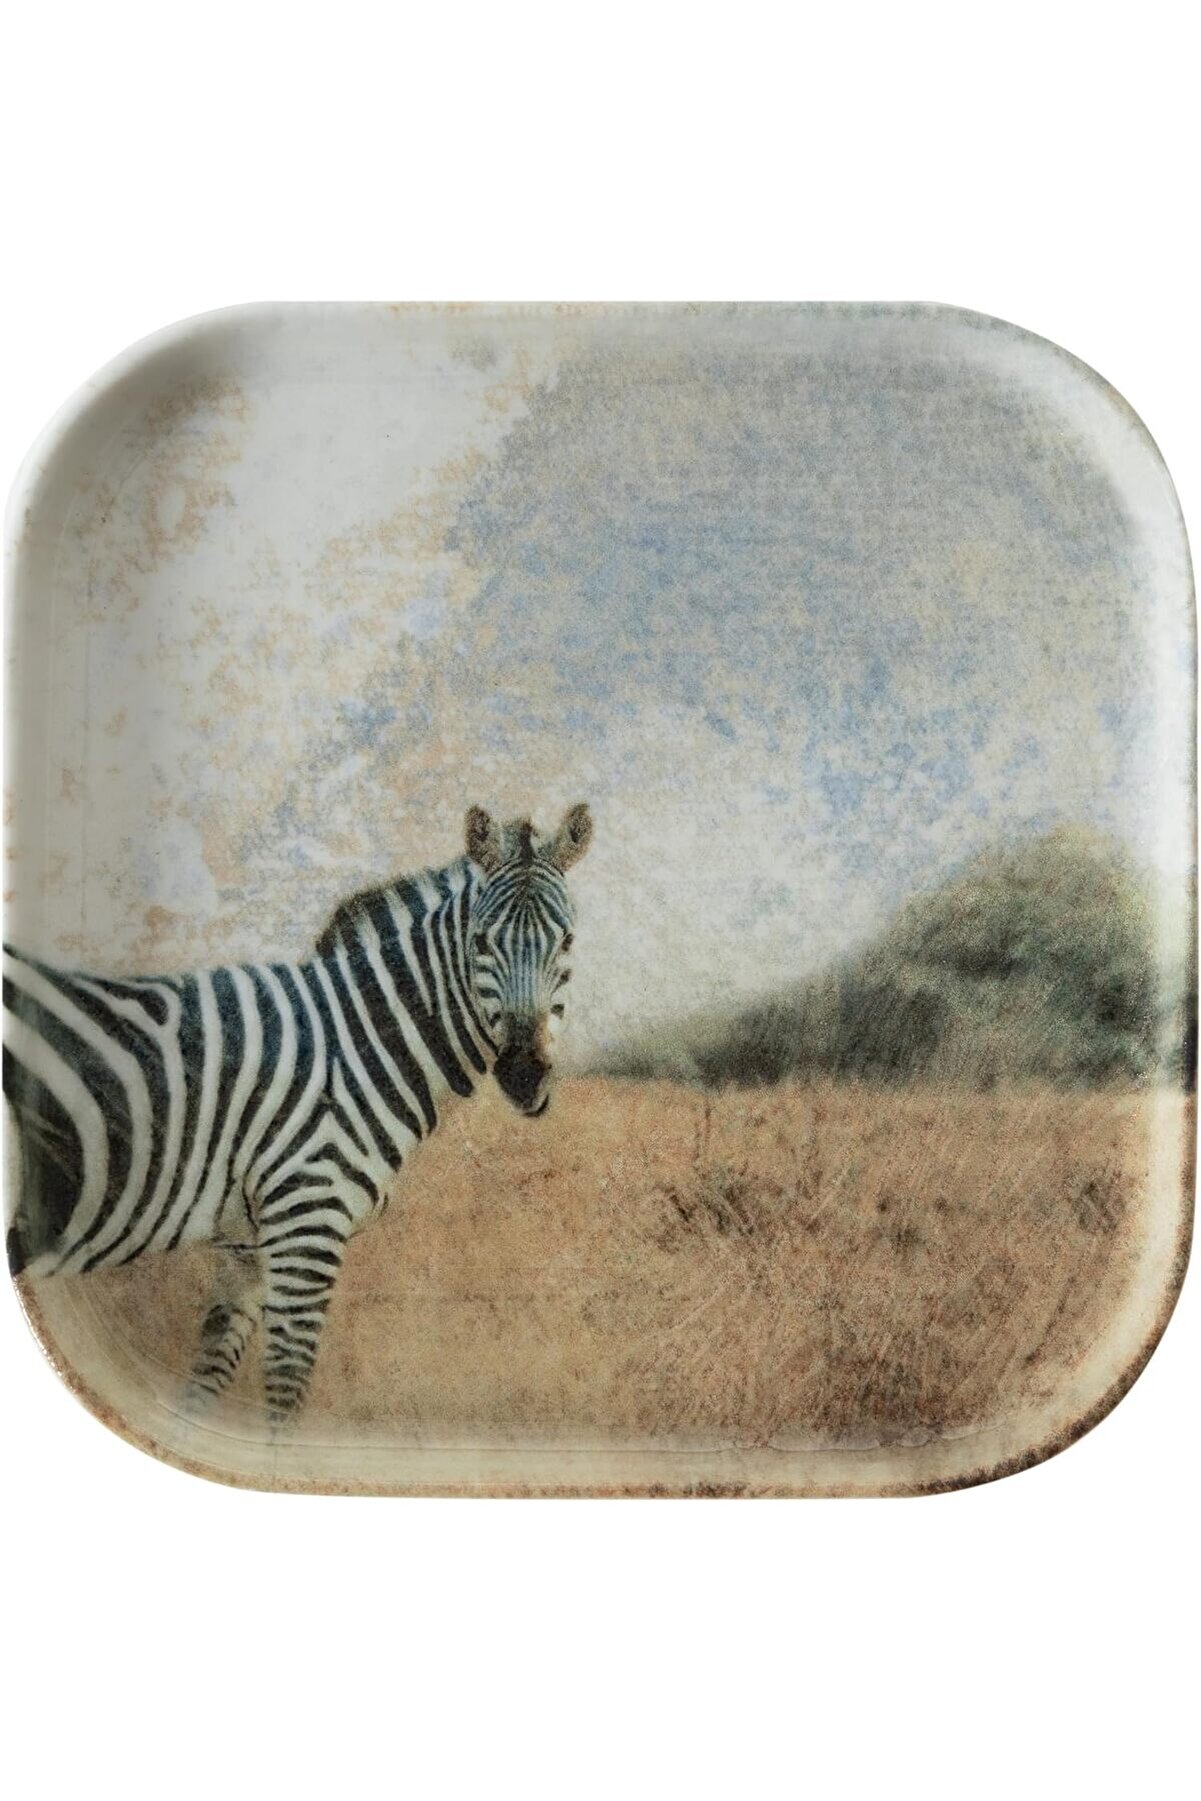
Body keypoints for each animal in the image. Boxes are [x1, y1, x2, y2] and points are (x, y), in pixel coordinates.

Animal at [3, 802, 594, 1423]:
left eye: (567, 940)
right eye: (481, 940)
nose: (524, 1073)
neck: (353, 1044)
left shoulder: (247, 1248)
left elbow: (205, 1392)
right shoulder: (307, 1222)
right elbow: (286, 1392)